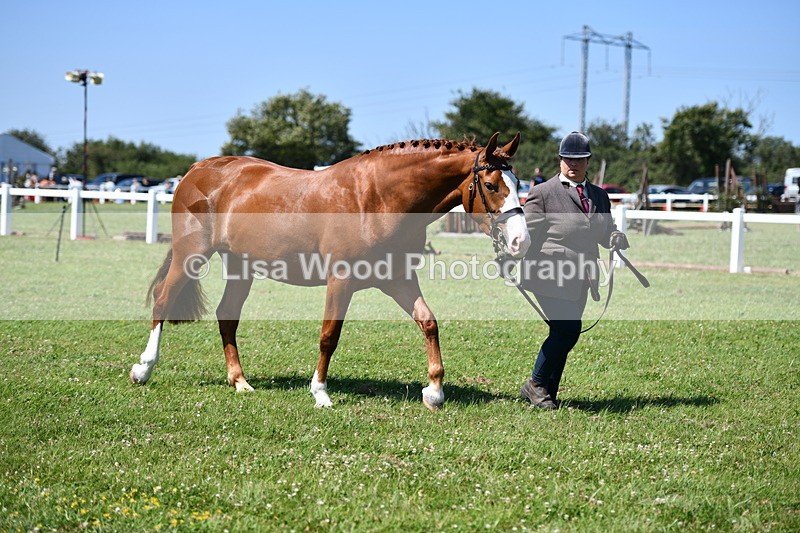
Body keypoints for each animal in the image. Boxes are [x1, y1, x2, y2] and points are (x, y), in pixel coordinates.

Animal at [130, 132, 530, 410]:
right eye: (491, 185)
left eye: (518, 185)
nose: (519, 242)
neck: (377, 198)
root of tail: (196, 170)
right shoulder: (341, 281)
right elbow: (329, 336)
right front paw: (320, 393)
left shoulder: (398, 280)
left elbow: (428, 322)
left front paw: (433, 391)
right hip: (191, 256)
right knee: (163, 301)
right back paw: (143, 369)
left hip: (241, 266)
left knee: (227, 316)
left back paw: (239, 381)